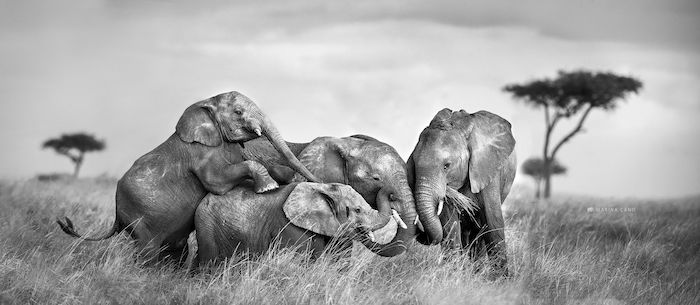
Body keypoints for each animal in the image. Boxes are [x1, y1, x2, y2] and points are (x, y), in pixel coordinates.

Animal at [57, 89, 320, 264]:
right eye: (238, 112)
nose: (318, 181)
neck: (206, 103)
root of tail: (116, 213)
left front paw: (282, 177)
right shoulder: (200, 153)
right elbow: (218, 182)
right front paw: (268, 187)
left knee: (175, 247)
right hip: (139, 218)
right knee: (148, 251)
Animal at [408, 107, 516, 276]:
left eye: (446, 166)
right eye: (414, 164)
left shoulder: (487, 170)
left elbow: (493, 221)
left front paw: (501, 280)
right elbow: (449, 223)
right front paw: (451, 274)